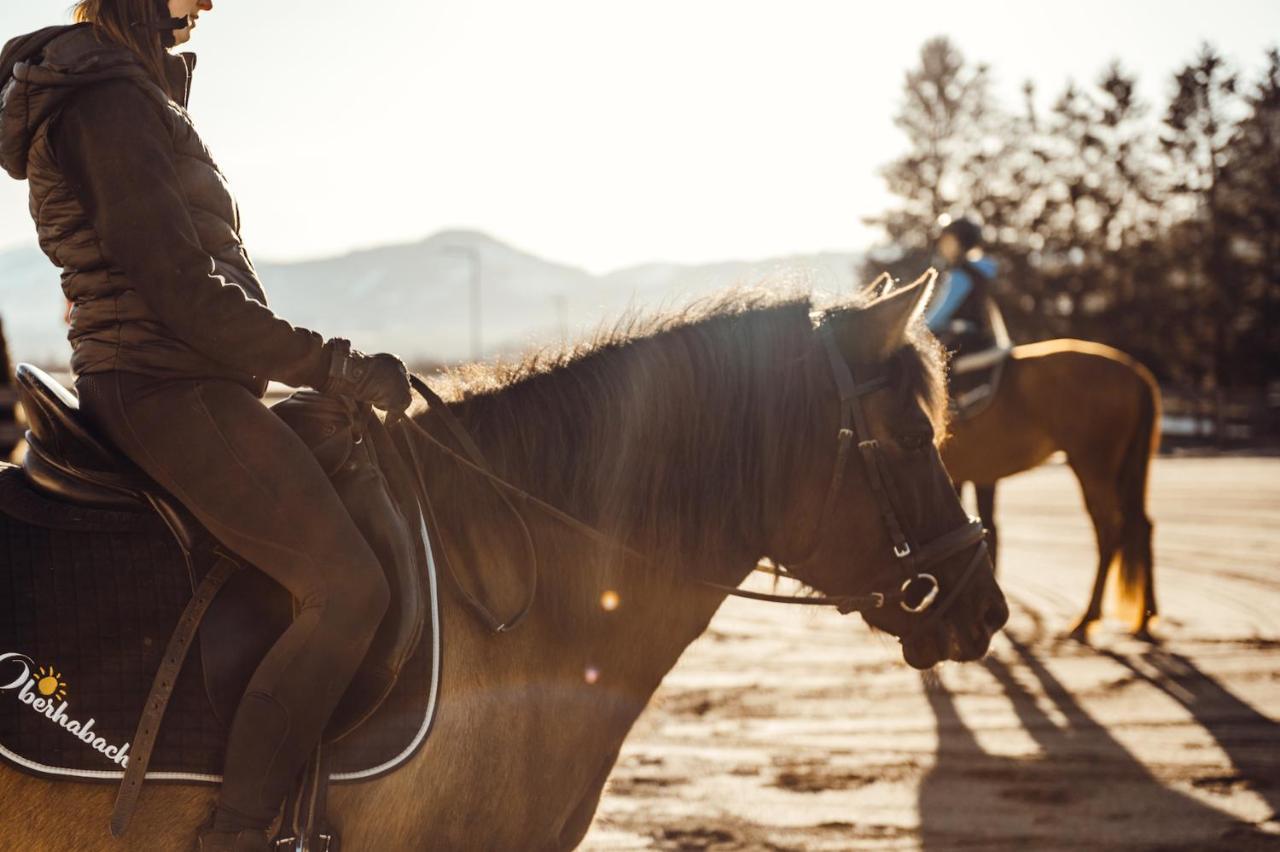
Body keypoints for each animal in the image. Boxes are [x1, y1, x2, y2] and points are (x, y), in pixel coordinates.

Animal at [942, 337, 1162, 637]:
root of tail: (1136, 373)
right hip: (1123, 469)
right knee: (1139, 526)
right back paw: (1144, 617)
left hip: (1094, 466)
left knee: (1110, 530)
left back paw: (1088, 617)